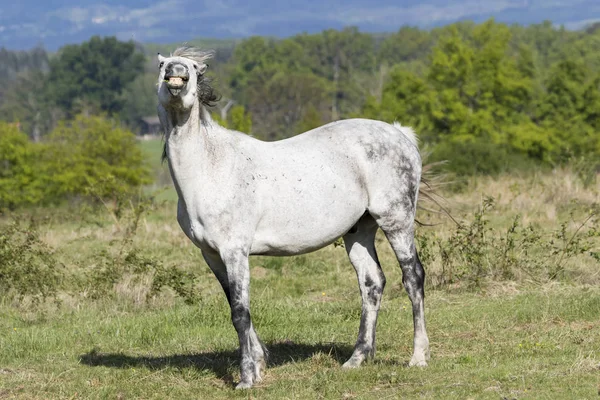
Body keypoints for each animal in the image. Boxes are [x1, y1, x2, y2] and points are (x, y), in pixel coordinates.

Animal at [157, 46, 432, 388]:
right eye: (161, 64)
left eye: (195, 69)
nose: (176, 74)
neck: (211, 167)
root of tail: (400, 133)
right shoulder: (211, 254)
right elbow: (235, 305)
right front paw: (259, 363)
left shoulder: (235, 252)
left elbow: (240, 312)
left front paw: (246, 377)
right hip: (359, 230)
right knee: (372, 283)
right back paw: (356, 359)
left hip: (397, 221)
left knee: (413, 277)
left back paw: (418, 357)